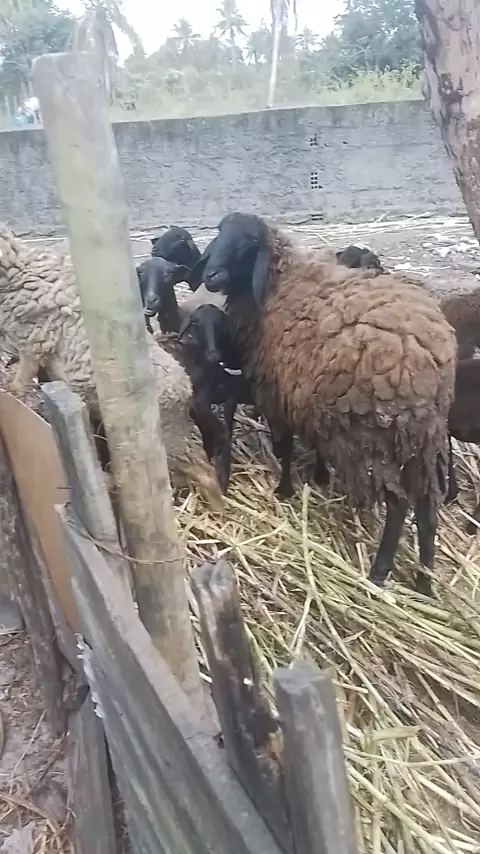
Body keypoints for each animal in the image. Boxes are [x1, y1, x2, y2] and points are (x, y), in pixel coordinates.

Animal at [0, 223, 223, 510]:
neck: (19, 269)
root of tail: (183, 388)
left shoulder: (34, 342)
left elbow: (19, 383)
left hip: (164, 433)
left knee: (202, 470)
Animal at [191, 211, 457, 595]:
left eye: (247, 243)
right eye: (219, 233)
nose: (211, 275)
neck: (277, 284)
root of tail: (426, 359)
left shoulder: (276, 394)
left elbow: (284, 447)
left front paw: (284, 490)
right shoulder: (306, 396)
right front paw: (317, 477)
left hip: (374, 438)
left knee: (398, 504)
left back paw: (379, 571)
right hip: (422, 436)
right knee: (426, 508)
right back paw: (424, 581)